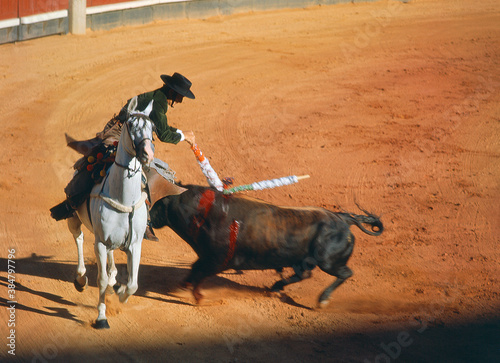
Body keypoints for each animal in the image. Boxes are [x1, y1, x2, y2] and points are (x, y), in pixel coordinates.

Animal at [66, 99, 153, 330]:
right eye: (131, 125)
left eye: (152, 128)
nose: (148, 154)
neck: (123, 197)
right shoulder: (100, 243)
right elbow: (101, 280)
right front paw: (101, 317)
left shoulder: (135, 245)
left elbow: (133, 284)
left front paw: (120, 290)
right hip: (73, 218)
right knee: (78, 238)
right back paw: (80, 279)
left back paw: (114, 277)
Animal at [150, 185, 384, 308]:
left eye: (158, 208)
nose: (149, 218)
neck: (204, 215)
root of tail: (343, 218)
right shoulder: (206, 258)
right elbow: (194, 269)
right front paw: (183, 286)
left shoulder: (217, 261)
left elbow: (199, 273)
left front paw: (197, 297)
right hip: (307, 260)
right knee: (304, 274)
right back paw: (276, 287)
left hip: (328, 262)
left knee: (345, 273)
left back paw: (322, 300)